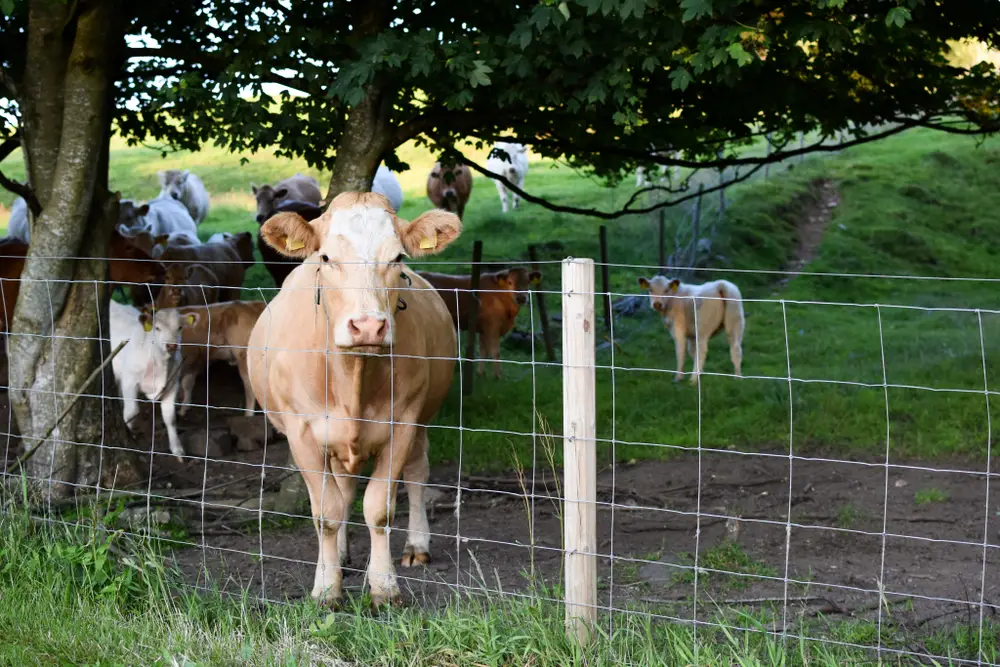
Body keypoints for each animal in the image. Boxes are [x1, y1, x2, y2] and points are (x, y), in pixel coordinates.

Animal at [110, 302, 200, 460]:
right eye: (157, 328)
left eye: (180, 327)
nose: (171, 345)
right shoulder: (130, 380)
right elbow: (132, 411)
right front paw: (129, 432)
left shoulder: (172, 385)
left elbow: (170, 417)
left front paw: (177, 449)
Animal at [248, 190, 458, 608]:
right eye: (327, 257)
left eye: (398, 258)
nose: (368, 326)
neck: (353, 379)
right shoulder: (302, 434)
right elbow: (326, 512)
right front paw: (327, 587)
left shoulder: (402, 423)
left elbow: (379, 509)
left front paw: (384, 587)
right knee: (342, 493)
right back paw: (341, 556)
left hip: (422, 420)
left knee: (417, 474)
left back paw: (416, 545)